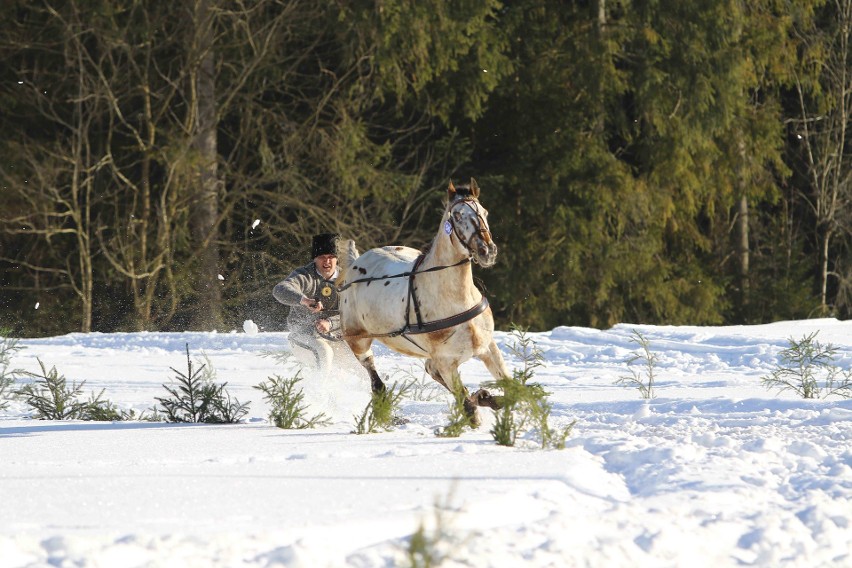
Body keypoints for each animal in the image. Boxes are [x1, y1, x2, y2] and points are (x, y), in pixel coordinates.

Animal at [336, 179, 510, 426]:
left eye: (484, 212)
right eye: (457, 216)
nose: (487, 251)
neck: (455, 299)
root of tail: (355, 262)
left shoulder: (487, 348)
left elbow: (513, 389)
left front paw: (486, 396)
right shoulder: (446, 362)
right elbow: (469, 410)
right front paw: (478, 402)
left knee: (430, 370)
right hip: (357, 340)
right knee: (373, 373)